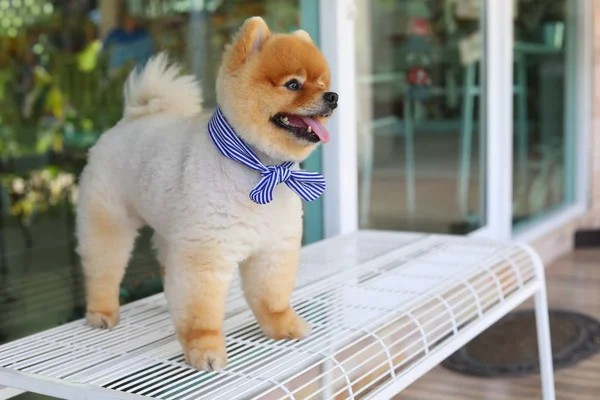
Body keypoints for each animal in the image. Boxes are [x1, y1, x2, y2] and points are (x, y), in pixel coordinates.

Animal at [76, 16, 338, 372]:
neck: (261, 167)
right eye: (294, 85)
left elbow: (272, 296)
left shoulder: (273, 247)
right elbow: (201, 312)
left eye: (323, 83)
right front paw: (204, 349)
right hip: (109, 221)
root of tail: (130, 119)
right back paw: (101, 312)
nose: (333, 97)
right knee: (103, 267)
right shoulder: (205, 252)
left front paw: (282, 325)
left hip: (170, 230)